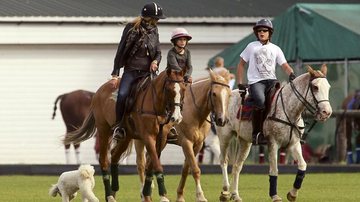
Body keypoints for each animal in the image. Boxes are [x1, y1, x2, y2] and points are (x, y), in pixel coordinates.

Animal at [63, 68, 186, 202]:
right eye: (169, 90)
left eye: (184, 89)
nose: (177, 117)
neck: (156, 106)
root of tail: (98, 91)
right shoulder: (148, 137)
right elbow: (156, 165)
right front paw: (162, 196)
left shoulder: (162, 138)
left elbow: (151, 165)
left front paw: (148, 193)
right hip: (103, 130)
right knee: (104, 160)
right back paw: (109, 195)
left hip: (126, 137)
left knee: (114, 156)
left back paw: (114, 190)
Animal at [135, 68, 231, 201]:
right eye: (214, 94)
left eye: (229, 95)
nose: (222, 120)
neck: (194, 111)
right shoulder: (187, 143)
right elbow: (195, 169)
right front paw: (200, 196)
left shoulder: (198, 145)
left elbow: (186, 169)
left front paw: (180, 195)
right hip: (141, 140)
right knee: (141, 163)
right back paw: (143, 193)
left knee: (149, 160)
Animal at [217, 64, 332, 202]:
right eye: (315, 87)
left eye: (328, 87)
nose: (327, 112)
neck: (289, 109)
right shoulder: (273, 143)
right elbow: (274, 170)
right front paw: (275, 195)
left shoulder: (293, 144)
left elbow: (302, 165)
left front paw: (292, 194)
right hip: (225, 136)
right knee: (223, 161)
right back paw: (225, 192)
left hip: (245, 141)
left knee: (237, 166)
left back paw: (236, 195)